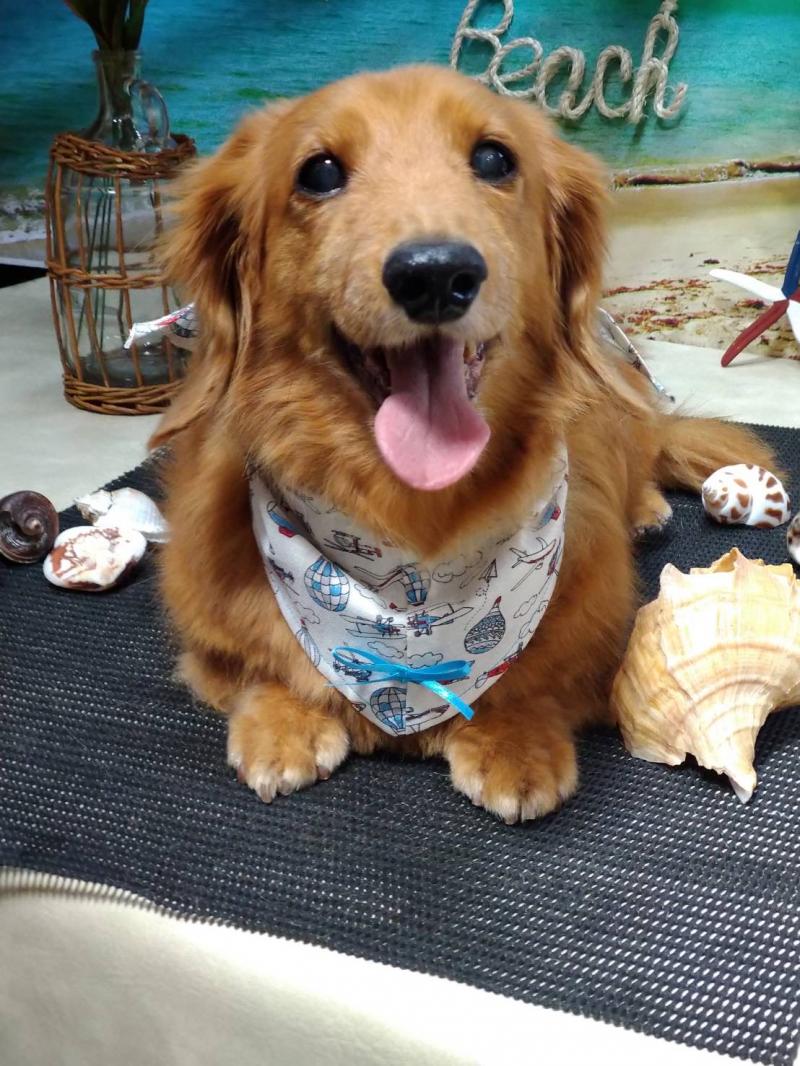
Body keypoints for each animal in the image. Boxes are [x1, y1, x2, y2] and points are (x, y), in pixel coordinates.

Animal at [151, 65, 774, 823]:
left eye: (494, 159)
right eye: (319, 172)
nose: (434, 274)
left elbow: (544, 681)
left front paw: (514, 738)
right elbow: (250, 666)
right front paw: (284, 717)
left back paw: (649, 508)